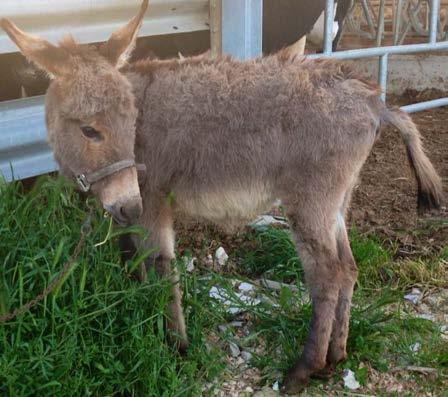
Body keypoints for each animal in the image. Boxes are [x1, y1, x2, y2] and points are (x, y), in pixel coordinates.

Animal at [2, 0, 444, 392]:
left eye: (131, 123)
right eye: (90, 130)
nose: (127, 203)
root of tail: (372, 99)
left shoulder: (153, 201)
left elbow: (162, 269)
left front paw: (175, 348)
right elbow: (134, 266)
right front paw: (137, 317)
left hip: (309, 201)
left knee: (328, 274)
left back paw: (304, 369)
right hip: (337, 201)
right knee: (349, 267)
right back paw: (337, 356)